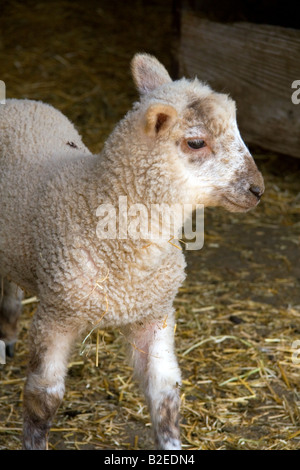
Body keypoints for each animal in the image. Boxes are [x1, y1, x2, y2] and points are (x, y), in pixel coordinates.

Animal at [0, 53, 264, 450]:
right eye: (196, 142)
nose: (258, 189)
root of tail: (14, 102)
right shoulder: (57, 315)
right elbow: (42, 401)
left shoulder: (154, 314)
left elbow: (165, 395)